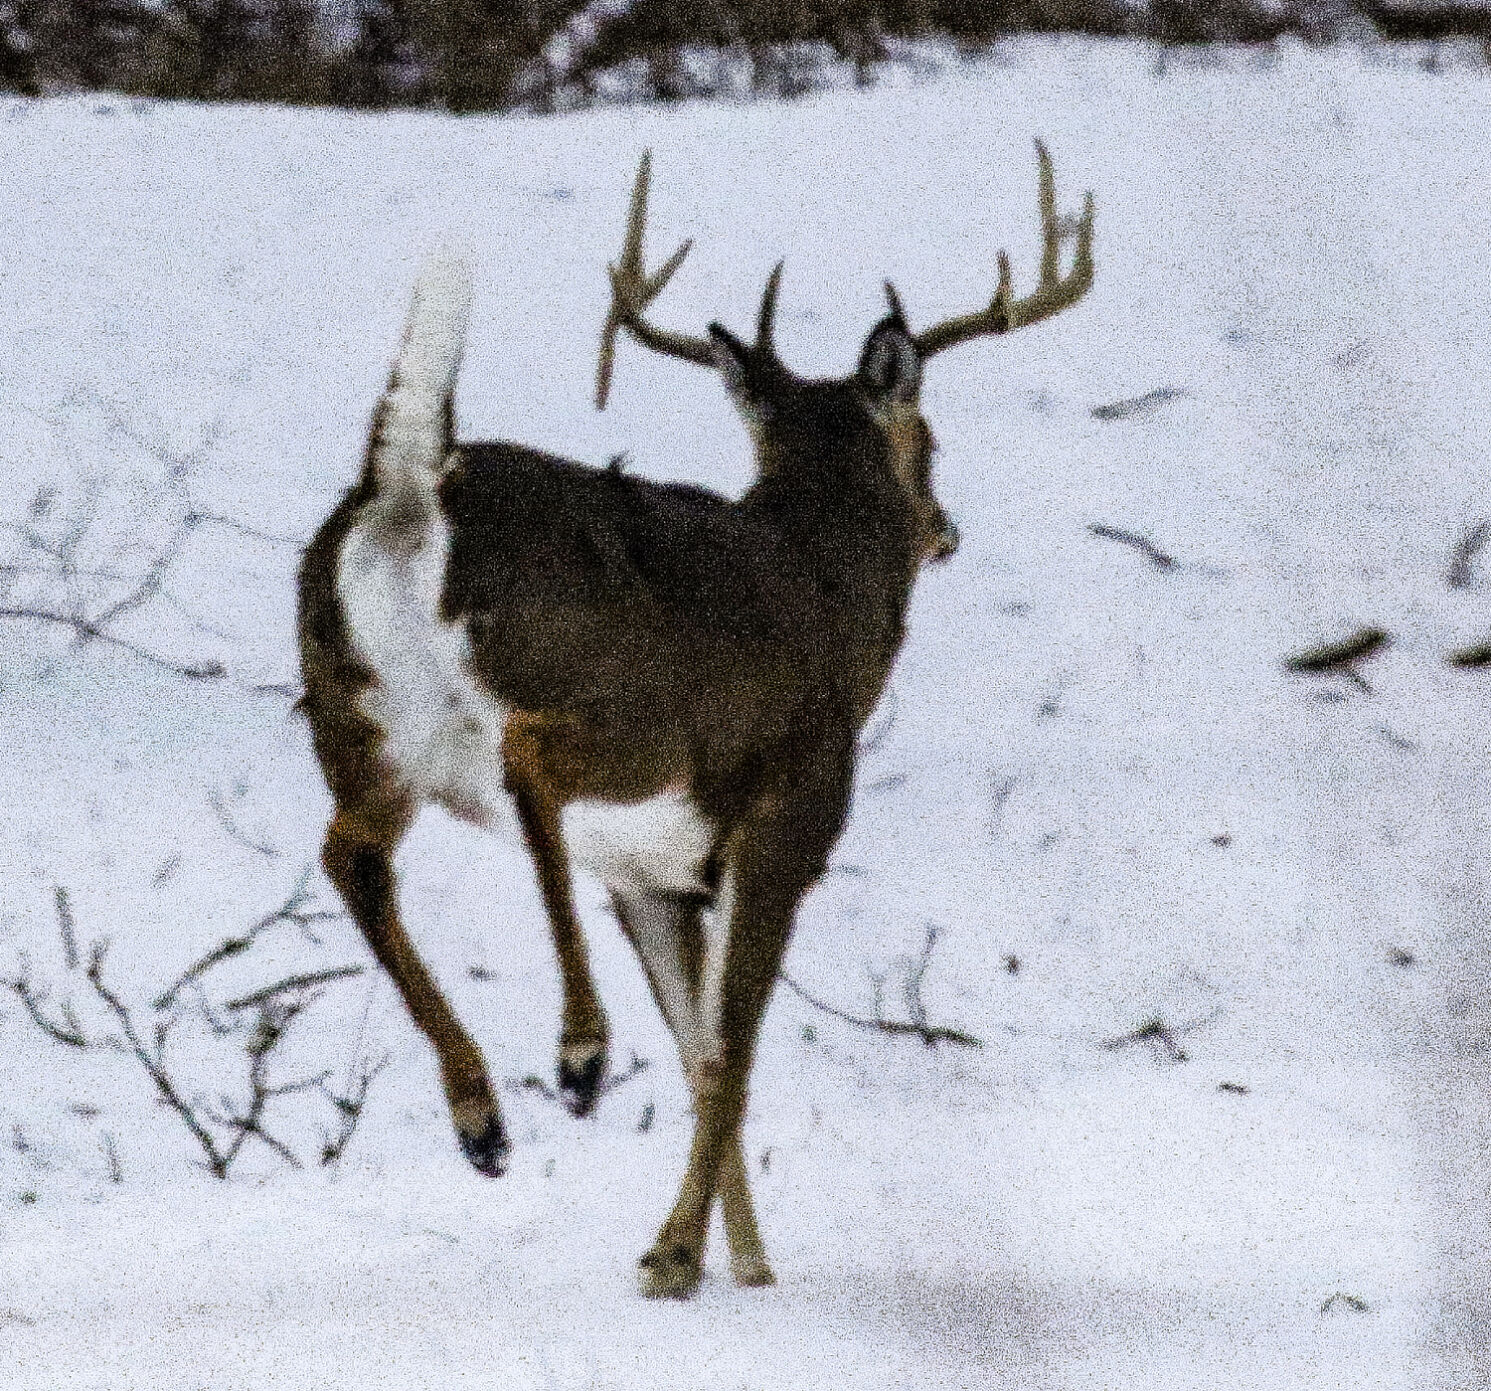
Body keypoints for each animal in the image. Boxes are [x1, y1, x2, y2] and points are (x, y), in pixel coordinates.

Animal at [296, 143, 1093, 1298]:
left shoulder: (654, 874)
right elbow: (737, 1049)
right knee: (526, 756)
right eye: (928, 442)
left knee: (350, 851)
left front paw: (740, 1259)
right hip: (613, 708)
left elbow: (700, 1048)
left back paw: (483, 1114)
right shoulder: (790, 816)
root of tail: (408, 489)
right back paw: (578, 1053)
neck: (830, 589)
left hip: (359, 724)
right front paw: (679, 1253)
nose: (946, 529)